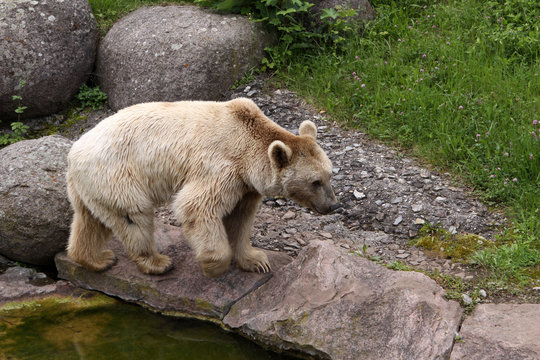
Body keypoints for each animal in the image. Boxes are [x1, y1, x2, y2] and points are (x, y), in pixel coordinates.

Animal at [65, 97, 340, 278]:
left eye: (329, 174)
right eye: (315, 181)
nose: (333, 205)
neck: (247, 145)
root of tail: (74, 151)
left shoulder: (246, 186)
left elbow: (241, 218)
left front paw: (256, 260)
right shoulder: (222, 167)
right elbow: (197, 206)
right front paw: (213, 265)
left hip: (90, 187)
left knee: (91, 221)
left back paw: (95, 259)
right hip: (118, 175)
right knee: (133, 217)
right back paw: (158, 262)